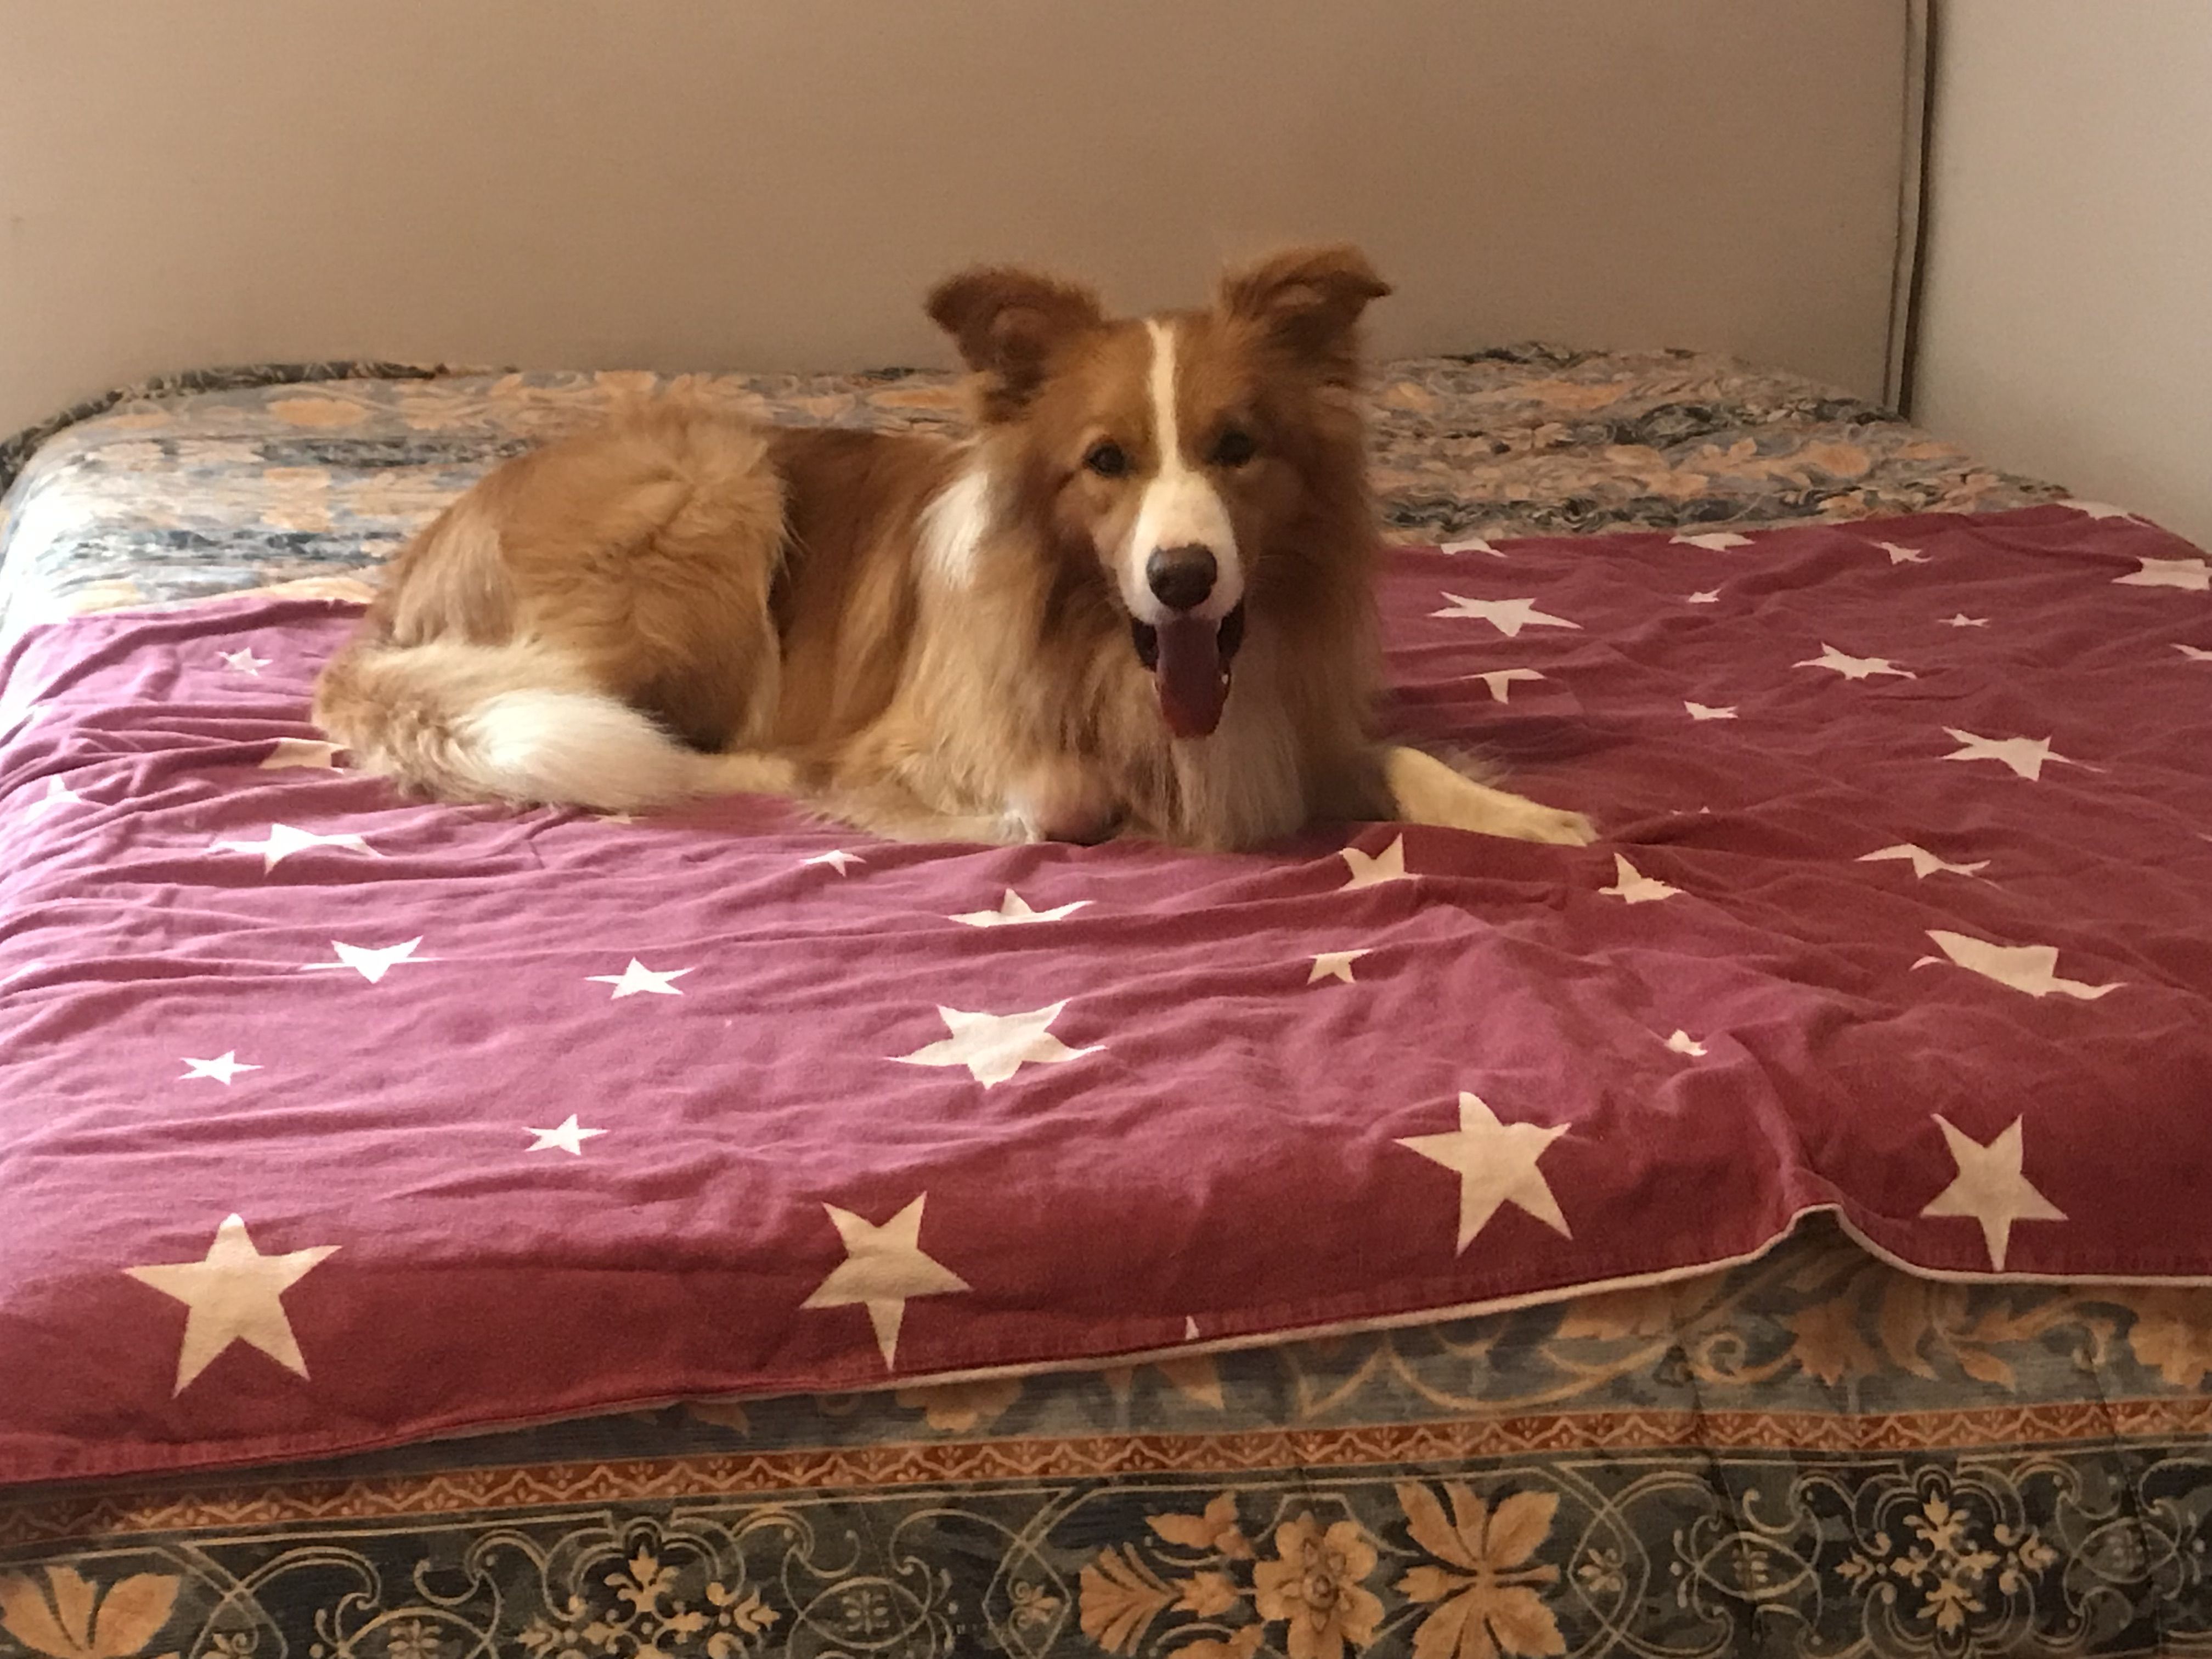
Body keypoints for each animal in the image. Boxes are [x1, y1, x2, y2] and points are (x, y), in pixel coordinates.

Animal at [313, 245, 1595, 853]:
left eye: (1237, 447)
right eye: (1106, 461)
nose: (1182, 578)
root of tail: (403, 588)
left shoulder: (1295, 723)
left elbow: (1410, 762)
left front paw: (1531, 821)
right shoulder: (935, 736)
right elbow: (1063, 796)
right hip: (709, 489)